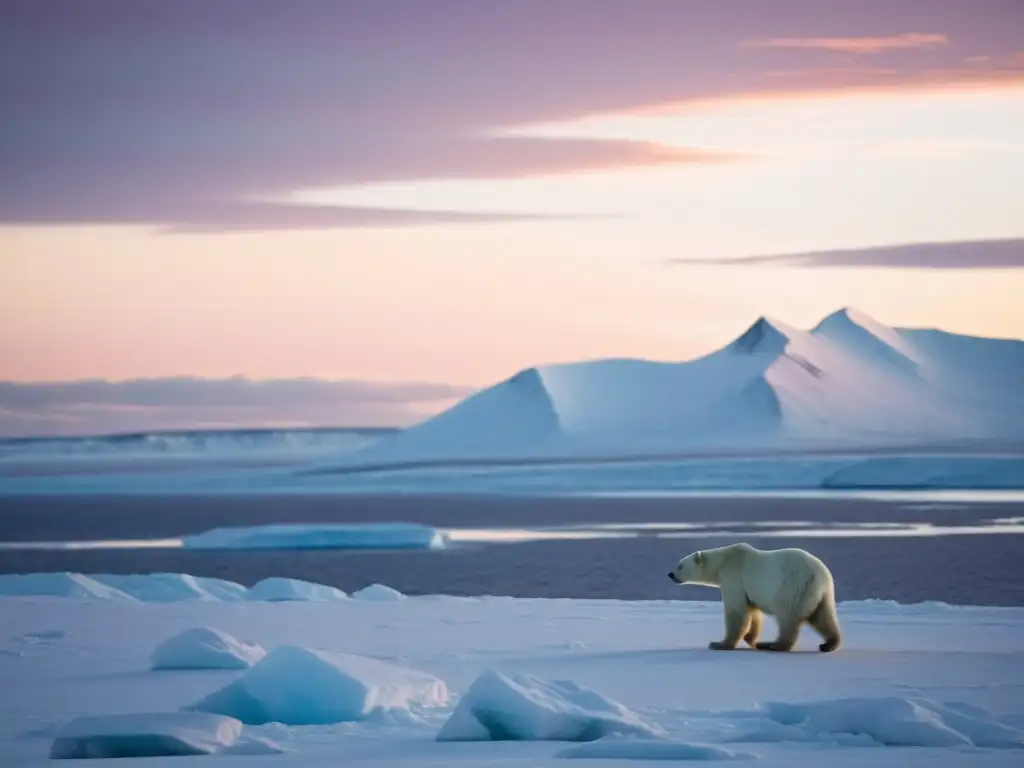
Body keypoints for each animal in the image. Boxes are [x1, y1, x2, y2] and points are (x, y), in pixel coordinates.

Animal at [671, 540, 839, 655]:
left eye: (680, 565)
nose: (670, 574)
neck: (723, 561)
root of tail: (820, 576)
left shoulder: (734, 576)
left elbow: (737, 611)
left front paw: (719, 643)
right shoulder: (748, 589)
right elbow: (752, 611)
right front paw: (750, 638)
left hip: (793, 587)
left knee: (787, 618)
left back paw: (771, 645)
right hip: (821, 594)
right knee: (824, 617)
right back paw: (828, 644)